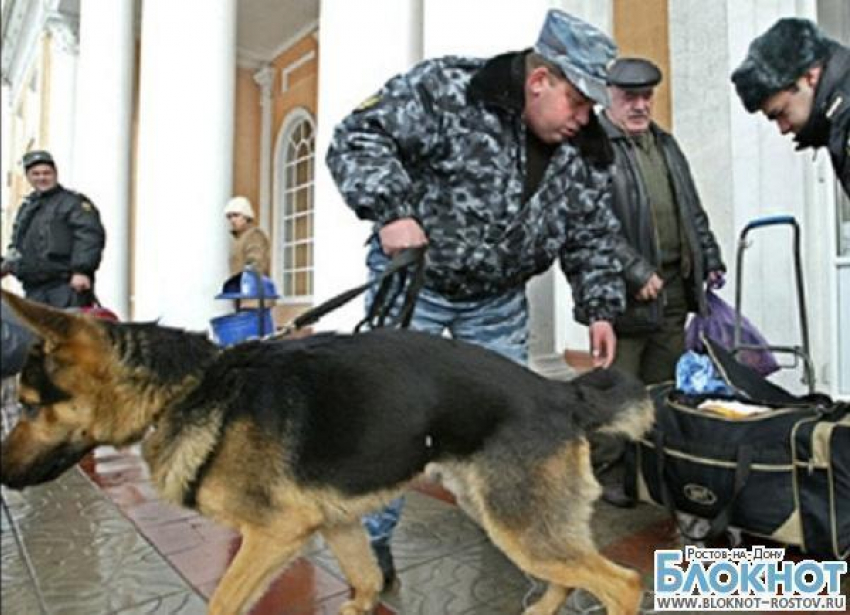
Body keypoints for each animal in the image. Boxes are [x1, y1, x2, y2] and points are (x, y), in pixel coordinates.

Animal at [1, 292, 648, 615]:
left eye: (28, 406)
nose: (3, 477)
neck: (185, 388)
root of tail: (561, 390)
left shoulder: (274, 535)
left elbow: (224, 604)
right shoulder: (337, 523)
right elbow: (364, 585)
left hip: (517, 523)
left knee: (623, 584)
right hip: (507, 515)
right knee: (568, 575)